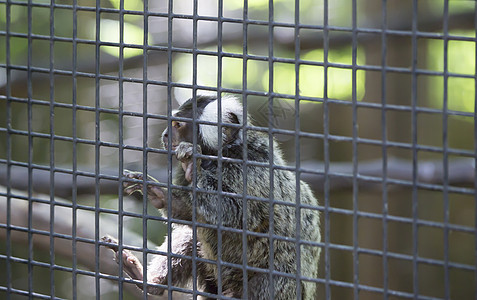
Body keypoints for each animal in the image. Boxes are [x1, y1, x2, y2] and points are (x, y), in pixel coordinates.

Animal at [102, 96, 322, 300]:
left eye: (178, 125)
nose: (165, 135)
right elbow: (190, 214)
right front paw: (157, 192)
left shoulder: (251, 172)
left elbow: (236, 214)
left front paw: (194, 167)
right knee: (192, 235)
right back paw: (148, 282)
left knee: (271, 279)